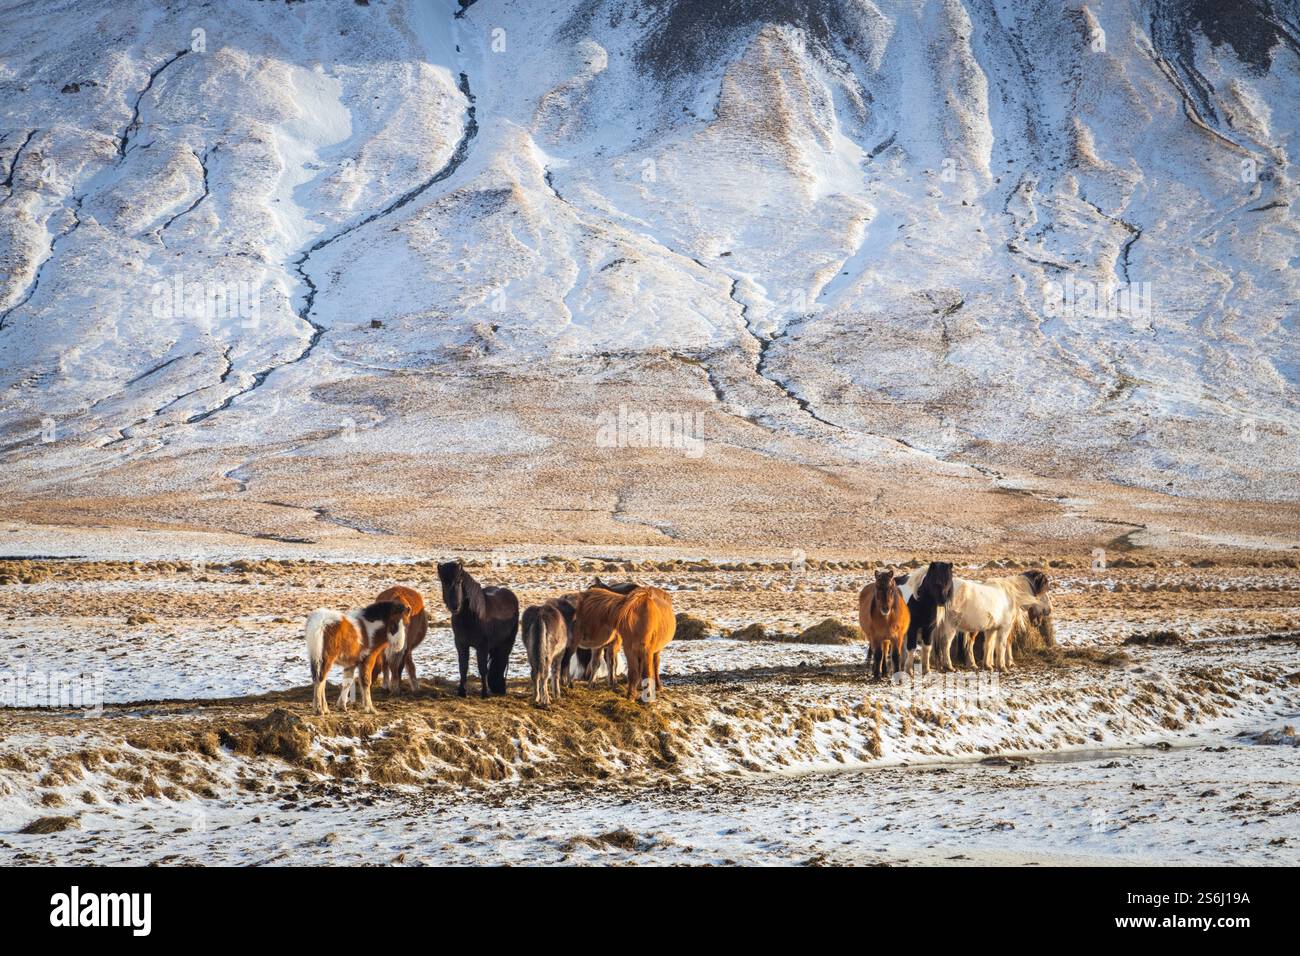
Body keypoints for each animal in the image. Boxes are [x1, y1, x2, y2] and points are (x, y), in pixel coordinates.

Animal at [437, 560, 519, 698]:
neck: (471, 617)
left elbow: (482, 668)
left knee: (501, 660)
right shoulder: (461, 644)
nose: (455, 606)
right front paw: (462, 692)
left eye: (459, 581)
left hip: (507, 642)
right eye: (443, 581)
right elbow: (463, 667)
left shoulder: (482, 646)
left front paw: (485, 693)